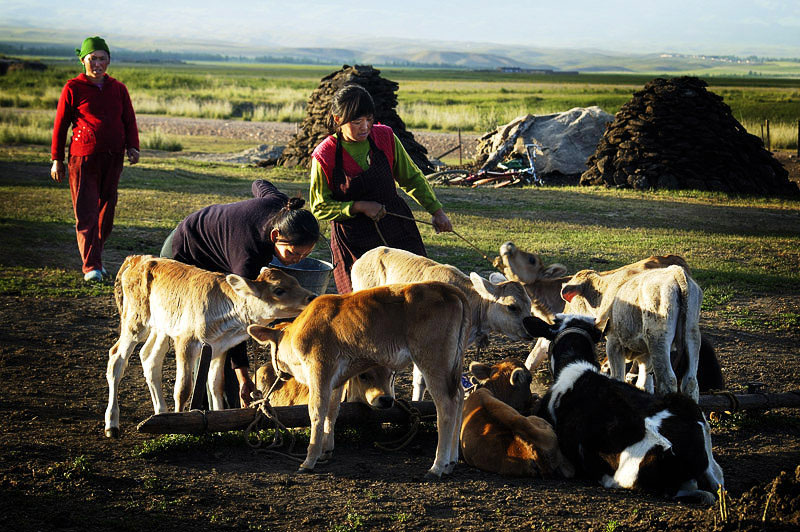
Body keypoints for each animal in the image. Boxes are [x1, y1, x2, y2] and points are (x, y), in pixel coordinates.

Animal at [105, 256, 316, 436]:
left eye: (296, 281)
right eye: (279, 290)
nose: (311, 296)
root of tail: (136, 259)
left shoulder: (219, 348)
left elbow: (216, 384)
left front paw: (220, 424)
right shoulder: (185, 342)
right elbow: (183, 388)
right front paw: (177, 427)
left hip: (161, 328)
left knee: (149, 358)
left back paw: (161, 414)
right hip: (135, 321)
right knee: (116, 358)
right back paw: (112, 424)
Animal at [245, 282, 468, 478]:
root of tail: (448, 289)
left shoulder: (320, 369)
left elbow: (317, 412)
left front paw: (309, 460)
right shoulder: (337, 379)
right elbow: (332, 411)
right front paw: (326, 450)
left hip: (433, 362)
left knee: (446, 407)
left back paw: (437, 466)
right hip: (451, 367)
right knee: (459, 397)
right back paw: (451, 462)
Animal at [560, 264, 704, 400]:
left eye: (568, 301)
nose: (564, 314)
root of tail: (676, 272)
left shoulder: (613, 342)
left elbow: (618, 377)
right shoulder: (645, 352)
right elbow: (644, 384)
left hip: (658, 339)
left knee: (667, 380)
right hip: (692, 336)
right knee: (690, 382)